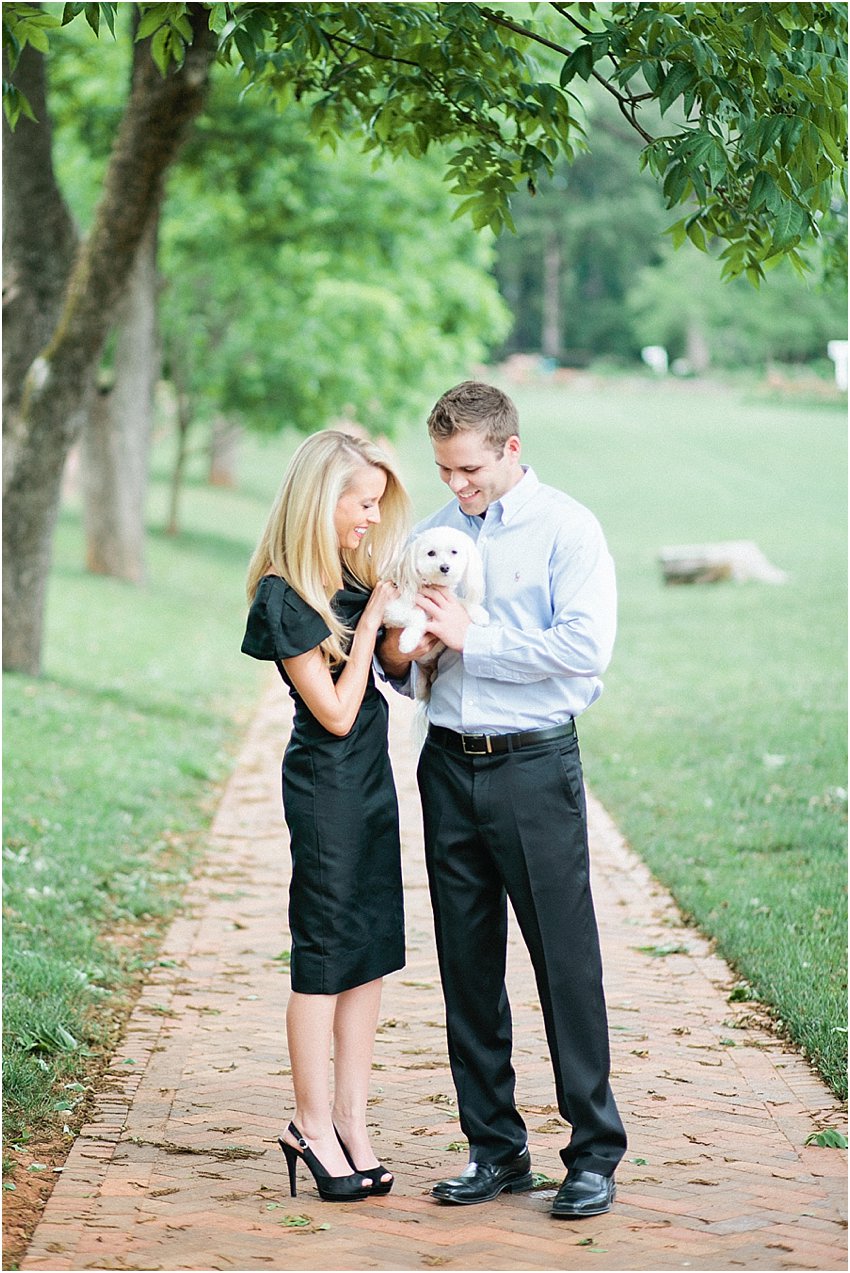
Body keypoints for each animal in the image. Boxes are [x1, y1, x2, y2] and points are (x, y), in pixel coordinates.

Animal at [384, 524, 491, 687]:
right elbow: (417, 615)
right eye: (431, 553)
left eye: (454, 552)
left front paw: (478, 613)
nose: (445, 567)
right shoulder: (392, 611)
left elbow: (461, 602)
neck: (433, 585)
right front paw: (408, 640)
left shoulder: (450, 598)